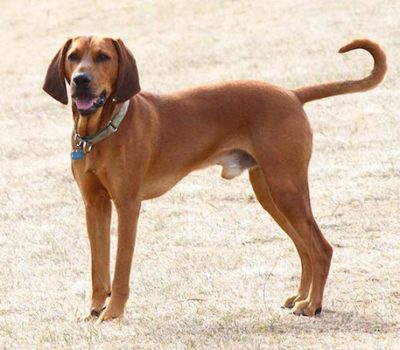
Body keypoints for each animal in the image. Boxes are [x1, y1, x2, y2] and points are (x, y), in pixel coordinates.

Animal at [42, 37, 386, 322]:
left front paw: (113, 312)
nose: (81, 80)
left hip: (286, 189)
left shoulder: (128, 207)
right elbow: (98, 267)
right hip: (271, 193)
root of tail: (291, 94)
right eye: (73, 57)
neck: (103, 132)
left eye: (103, 57)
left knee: (321, 248)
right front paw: (94, 309)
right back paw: (302, 297)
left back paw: (313, 305)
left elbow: (120, 270)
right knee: (304, 247)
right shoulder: (94, 206)